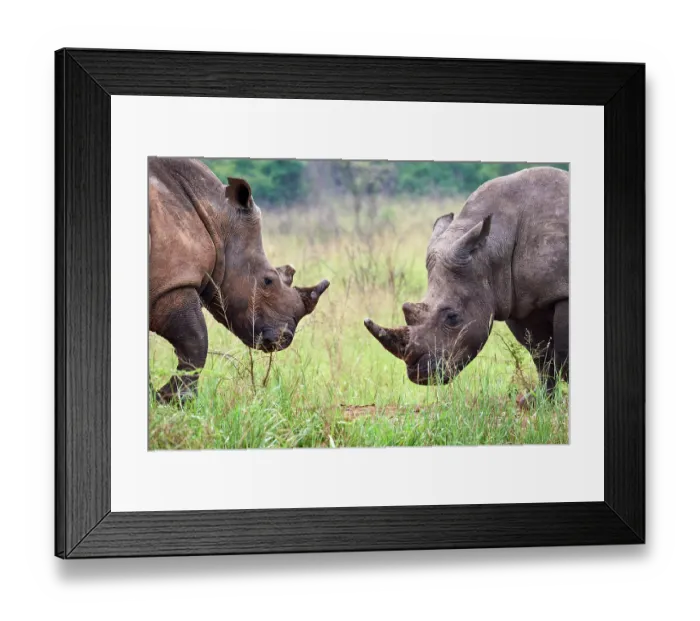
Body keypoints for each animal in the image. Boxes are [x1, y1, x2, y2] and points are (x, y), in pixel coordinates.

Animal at [149, 157, 330, 402]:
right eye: (268, 281)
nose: (284, 338)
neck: (217, 219)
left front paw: (158, 397)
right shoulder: (172, 282)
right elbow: (196, 339)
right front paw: (172, 399)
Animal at [364, 166, 569, 393]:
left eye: (453, 317)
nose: (419, 374)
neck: (491, 249)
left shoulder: (562, 293)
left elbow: (562, 353)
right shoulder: (518, 301)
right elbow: (541, 356)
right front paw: (543, 398)